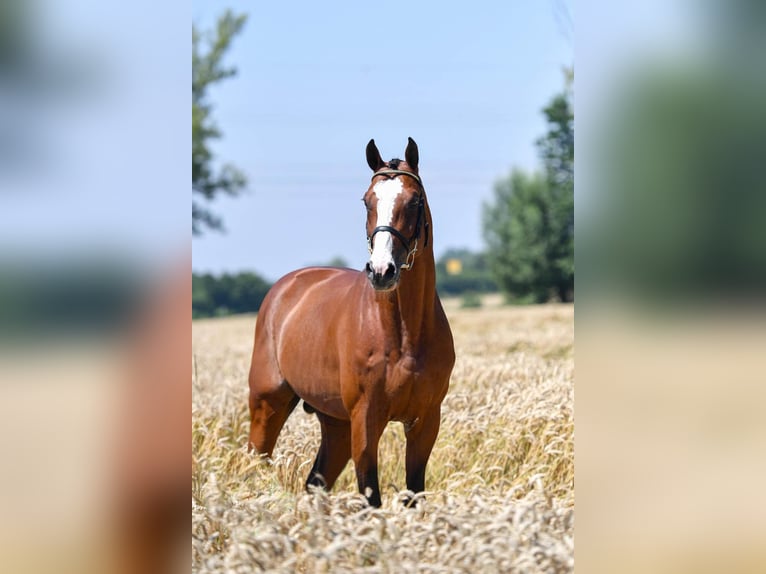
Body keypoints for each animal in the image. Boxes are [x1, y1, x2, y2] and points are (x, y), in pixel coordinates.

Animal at [249, 137, 456, 506]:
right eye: (367, 200)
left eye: (415, 200)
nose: (382, 271)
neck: (403, 334)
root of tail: (284, 288)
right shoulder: (366, 420)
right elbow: (370, 494)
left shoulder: (425, 421)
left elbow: (414, 491)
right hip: (267, 405)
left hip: (335, 424)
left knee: (314, 483)